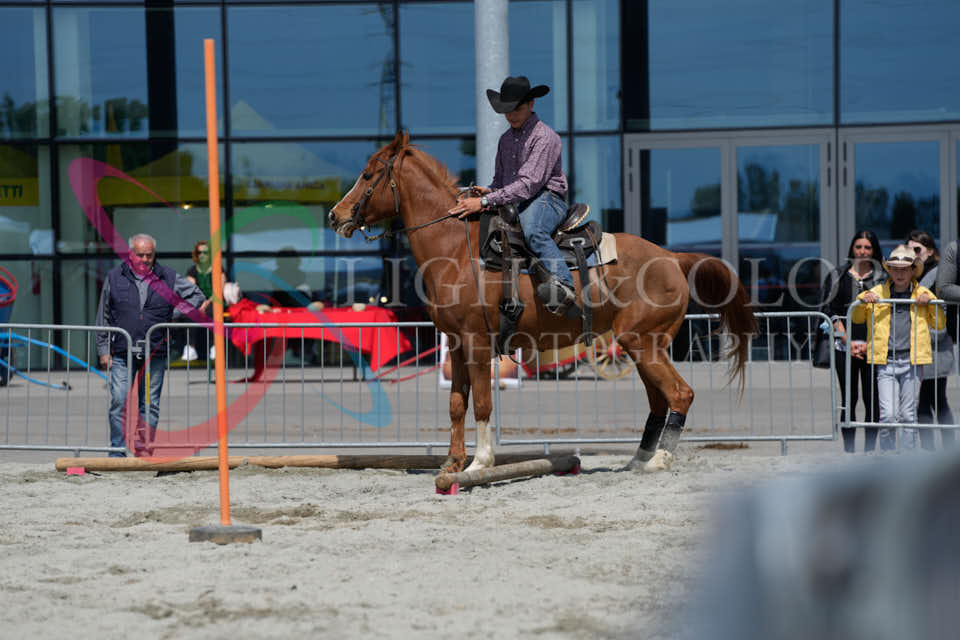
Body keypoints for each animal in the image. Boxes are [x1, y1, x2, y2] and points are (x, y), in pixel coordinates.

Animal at [329, 130, 758, 474]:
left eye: (368, 174)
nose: (335, 215)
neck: (455, 249)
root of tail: (671, 256)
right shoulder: (455, 343)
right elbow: (456, 403)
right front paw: (453, 462)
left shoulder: (477, 342)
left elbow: (481, 403)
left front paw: (480, 462)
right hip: (643, 346)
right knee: (659, 400)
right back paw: (638, 460)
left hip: (643, 343)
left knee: (679, 394)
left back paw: (660, 461)